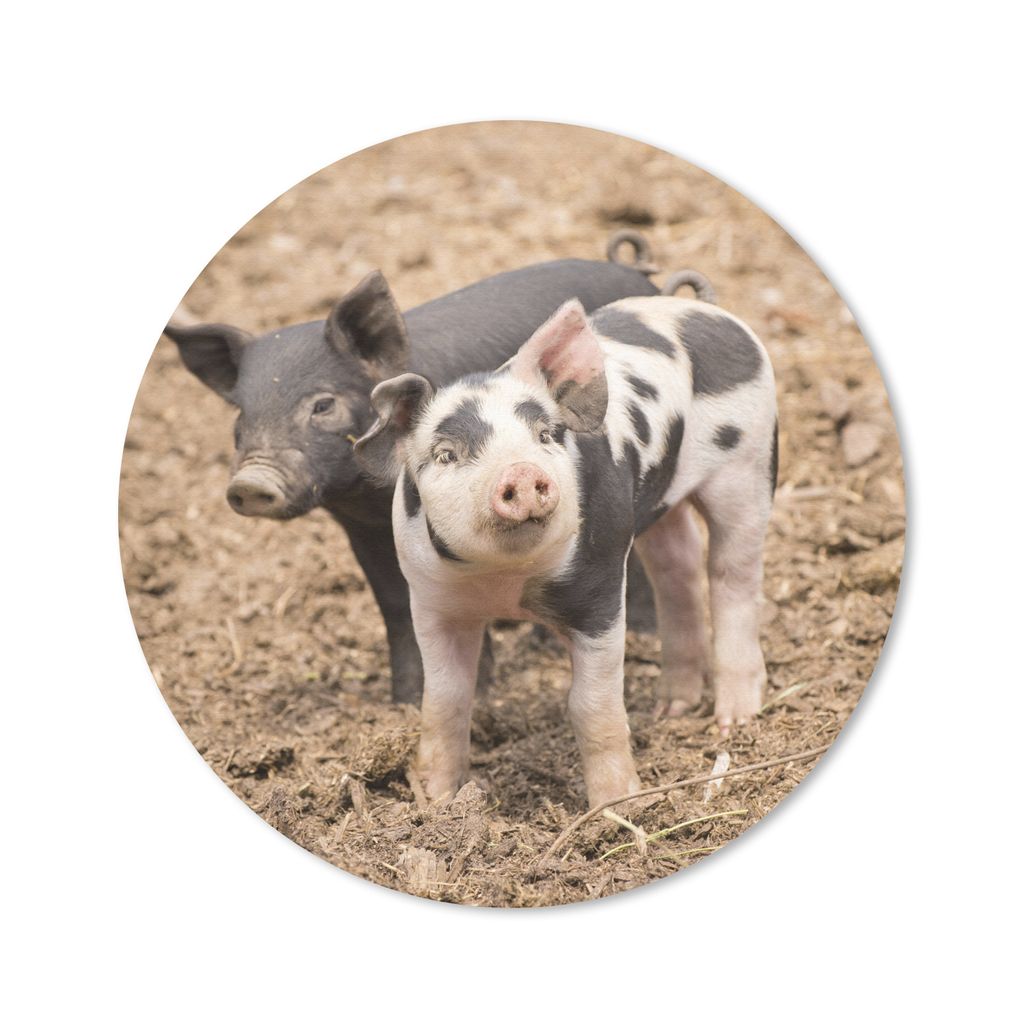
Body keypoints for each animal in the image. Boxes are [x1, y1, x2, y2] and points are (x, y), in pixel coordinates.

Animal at [162, 247, 663, 704]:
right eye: (241, 415)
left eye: (322, 404)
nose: (250, 483)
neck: (366, 495)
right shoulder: (360, 527)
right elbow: (394, 604)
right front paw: (403, 702)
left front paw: (475, 698)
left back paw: (637, 634)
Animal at [354, 294, 777, 808]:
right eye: (446, 455)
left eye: (545, 435)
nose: (520, 472)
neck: (505, 582)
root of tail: (708, 310)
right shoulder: (431, 600)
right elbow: (445, 699)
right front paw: (434, 799)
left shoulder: (600, 589)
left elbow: (590, 704)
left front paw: (618, 806)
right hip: (656, 507)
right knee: (678, 567)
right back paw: (671, 709)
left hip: (749, 463)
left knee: (733, 574)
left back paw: (733, 722)